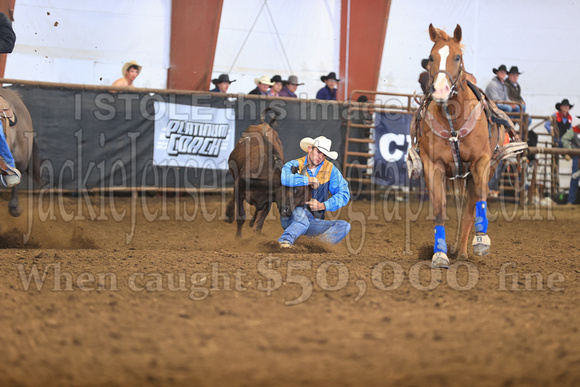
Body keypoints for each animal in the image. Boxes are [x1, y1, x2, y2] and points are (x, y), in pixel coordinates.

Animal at [408, 22, 524, 268]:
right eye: (431, 57)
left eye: (457, 57)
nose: (441, 90)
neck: (453, 118)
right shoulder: (433, 165)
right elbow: (440, 209)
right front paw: (440, 254)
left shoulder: (481, 162)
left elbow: (479, 198)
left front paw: (481, 241)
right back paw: (456, 250)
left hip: (485, 169)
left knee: (472, 205)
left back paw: (464, 251)